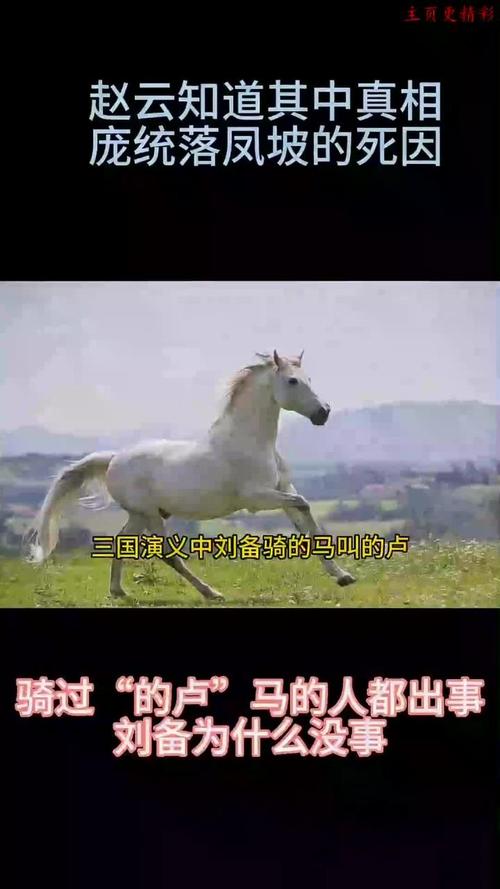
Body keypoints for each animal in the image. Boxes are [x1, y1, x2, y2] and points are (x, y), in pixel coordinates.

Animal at [27, 350, 356, 600]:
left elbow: (305, 520)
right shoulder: (257, 498)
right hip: (149, 514)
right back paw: (212, 593)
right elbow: (304, 506)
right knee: (167, 554)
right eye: (292, 381)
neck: (250, 441)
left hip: (140, 514)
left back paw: (118, 591)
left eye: (309, 379)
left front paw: (343, 576)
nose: (323, 413)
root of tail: (113, 459)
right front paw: (341, 575)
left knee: (122, 541)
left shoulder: (283, 489)